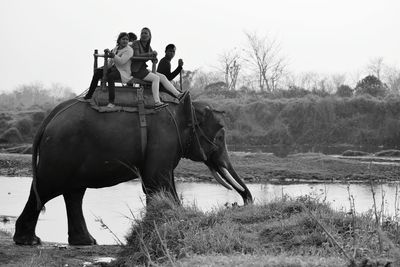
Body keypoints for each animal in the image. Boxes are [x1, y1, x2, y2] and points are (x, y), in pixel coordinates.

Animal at [14, 92, 253, 247]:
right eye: (220, 136)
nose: (242, 203)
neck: (182, 107)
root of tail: (50, 116)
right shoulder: (163, 138)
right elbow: (156, 180)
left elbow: (162, 181)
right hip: (61, 150)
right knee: (47, 187)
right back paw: (29, 241)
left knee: (74, 193)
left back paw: (85, 242)